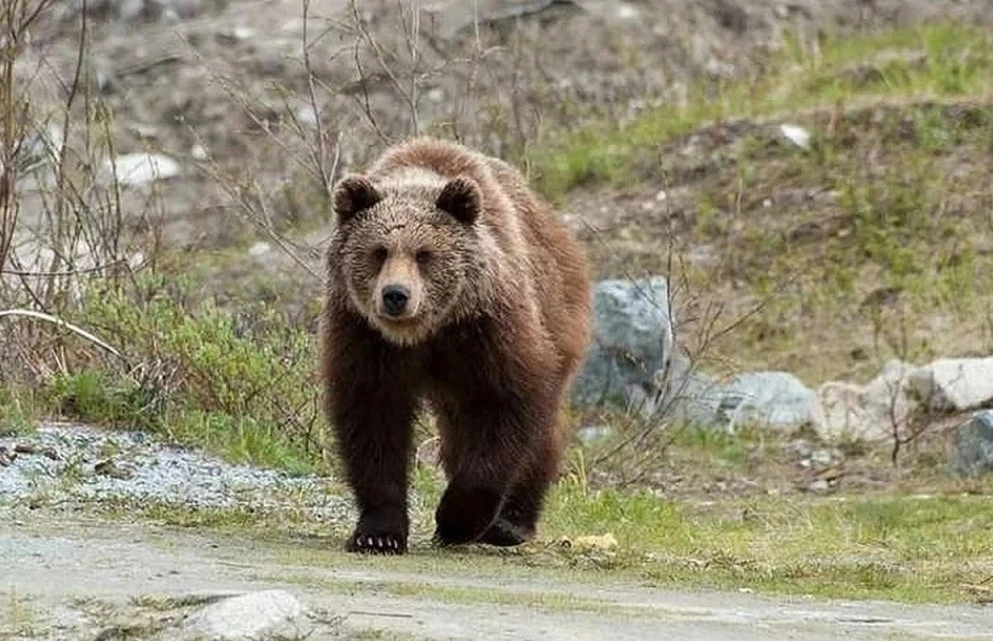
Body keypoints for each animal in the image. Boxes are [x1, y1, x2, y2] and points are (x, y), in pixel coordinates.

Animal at [320, 136, 593, 555]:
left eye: (424, 254)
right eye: (379, 251)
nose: (395, 295)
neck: (426, 332)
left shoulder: (488, 328)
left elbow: (508, 402)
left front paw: (456, 519)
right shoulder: (364, 336)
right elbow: (372, 418)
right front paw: (378, 533)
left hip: (559, 316)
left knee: (539, 434)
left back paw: (510, 524)